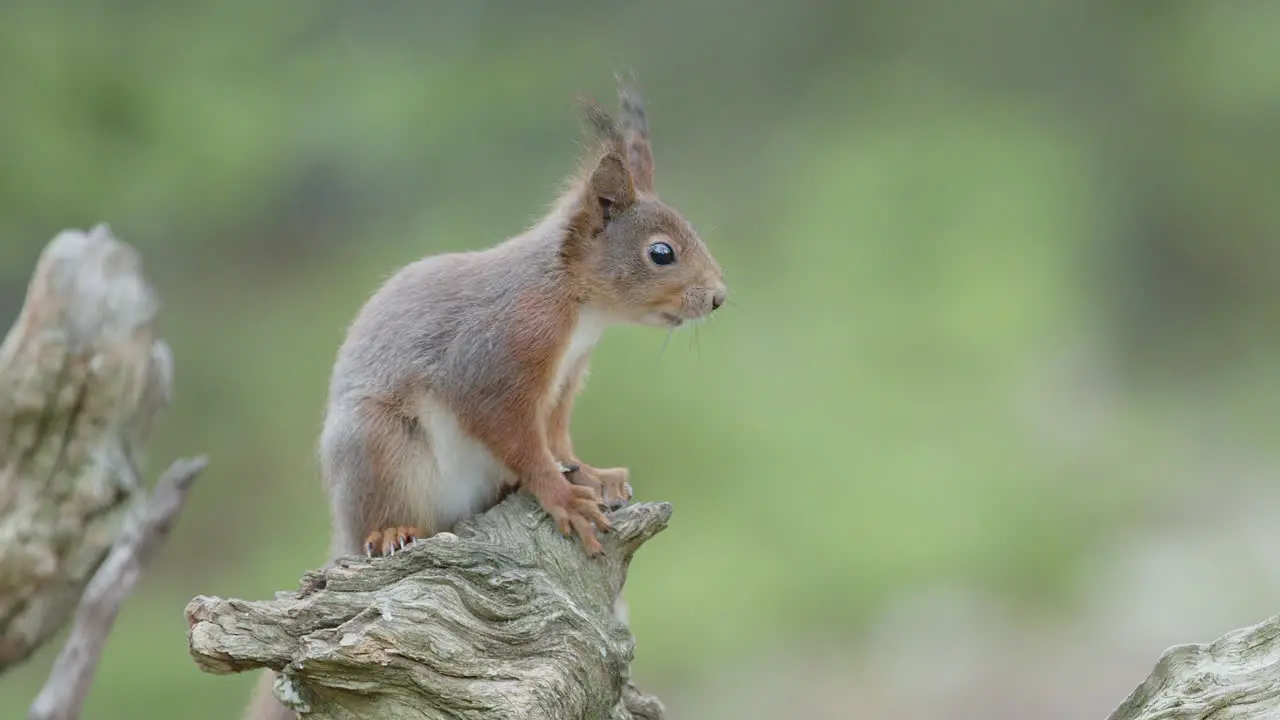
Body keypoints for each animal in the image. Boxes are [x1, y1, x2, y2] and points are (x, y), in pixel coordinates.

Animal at [240, 75, 721, 712]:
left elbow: (557, 437)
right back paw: (390, 532)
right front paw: (562, 497)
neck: (575, 303)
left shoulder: (564, 380)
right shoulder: (494, 362)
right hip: (379, 445)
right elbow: (517, 437)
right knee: (378, 517)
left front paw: (591, 476)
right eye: (661, 252)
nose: (719, 296)